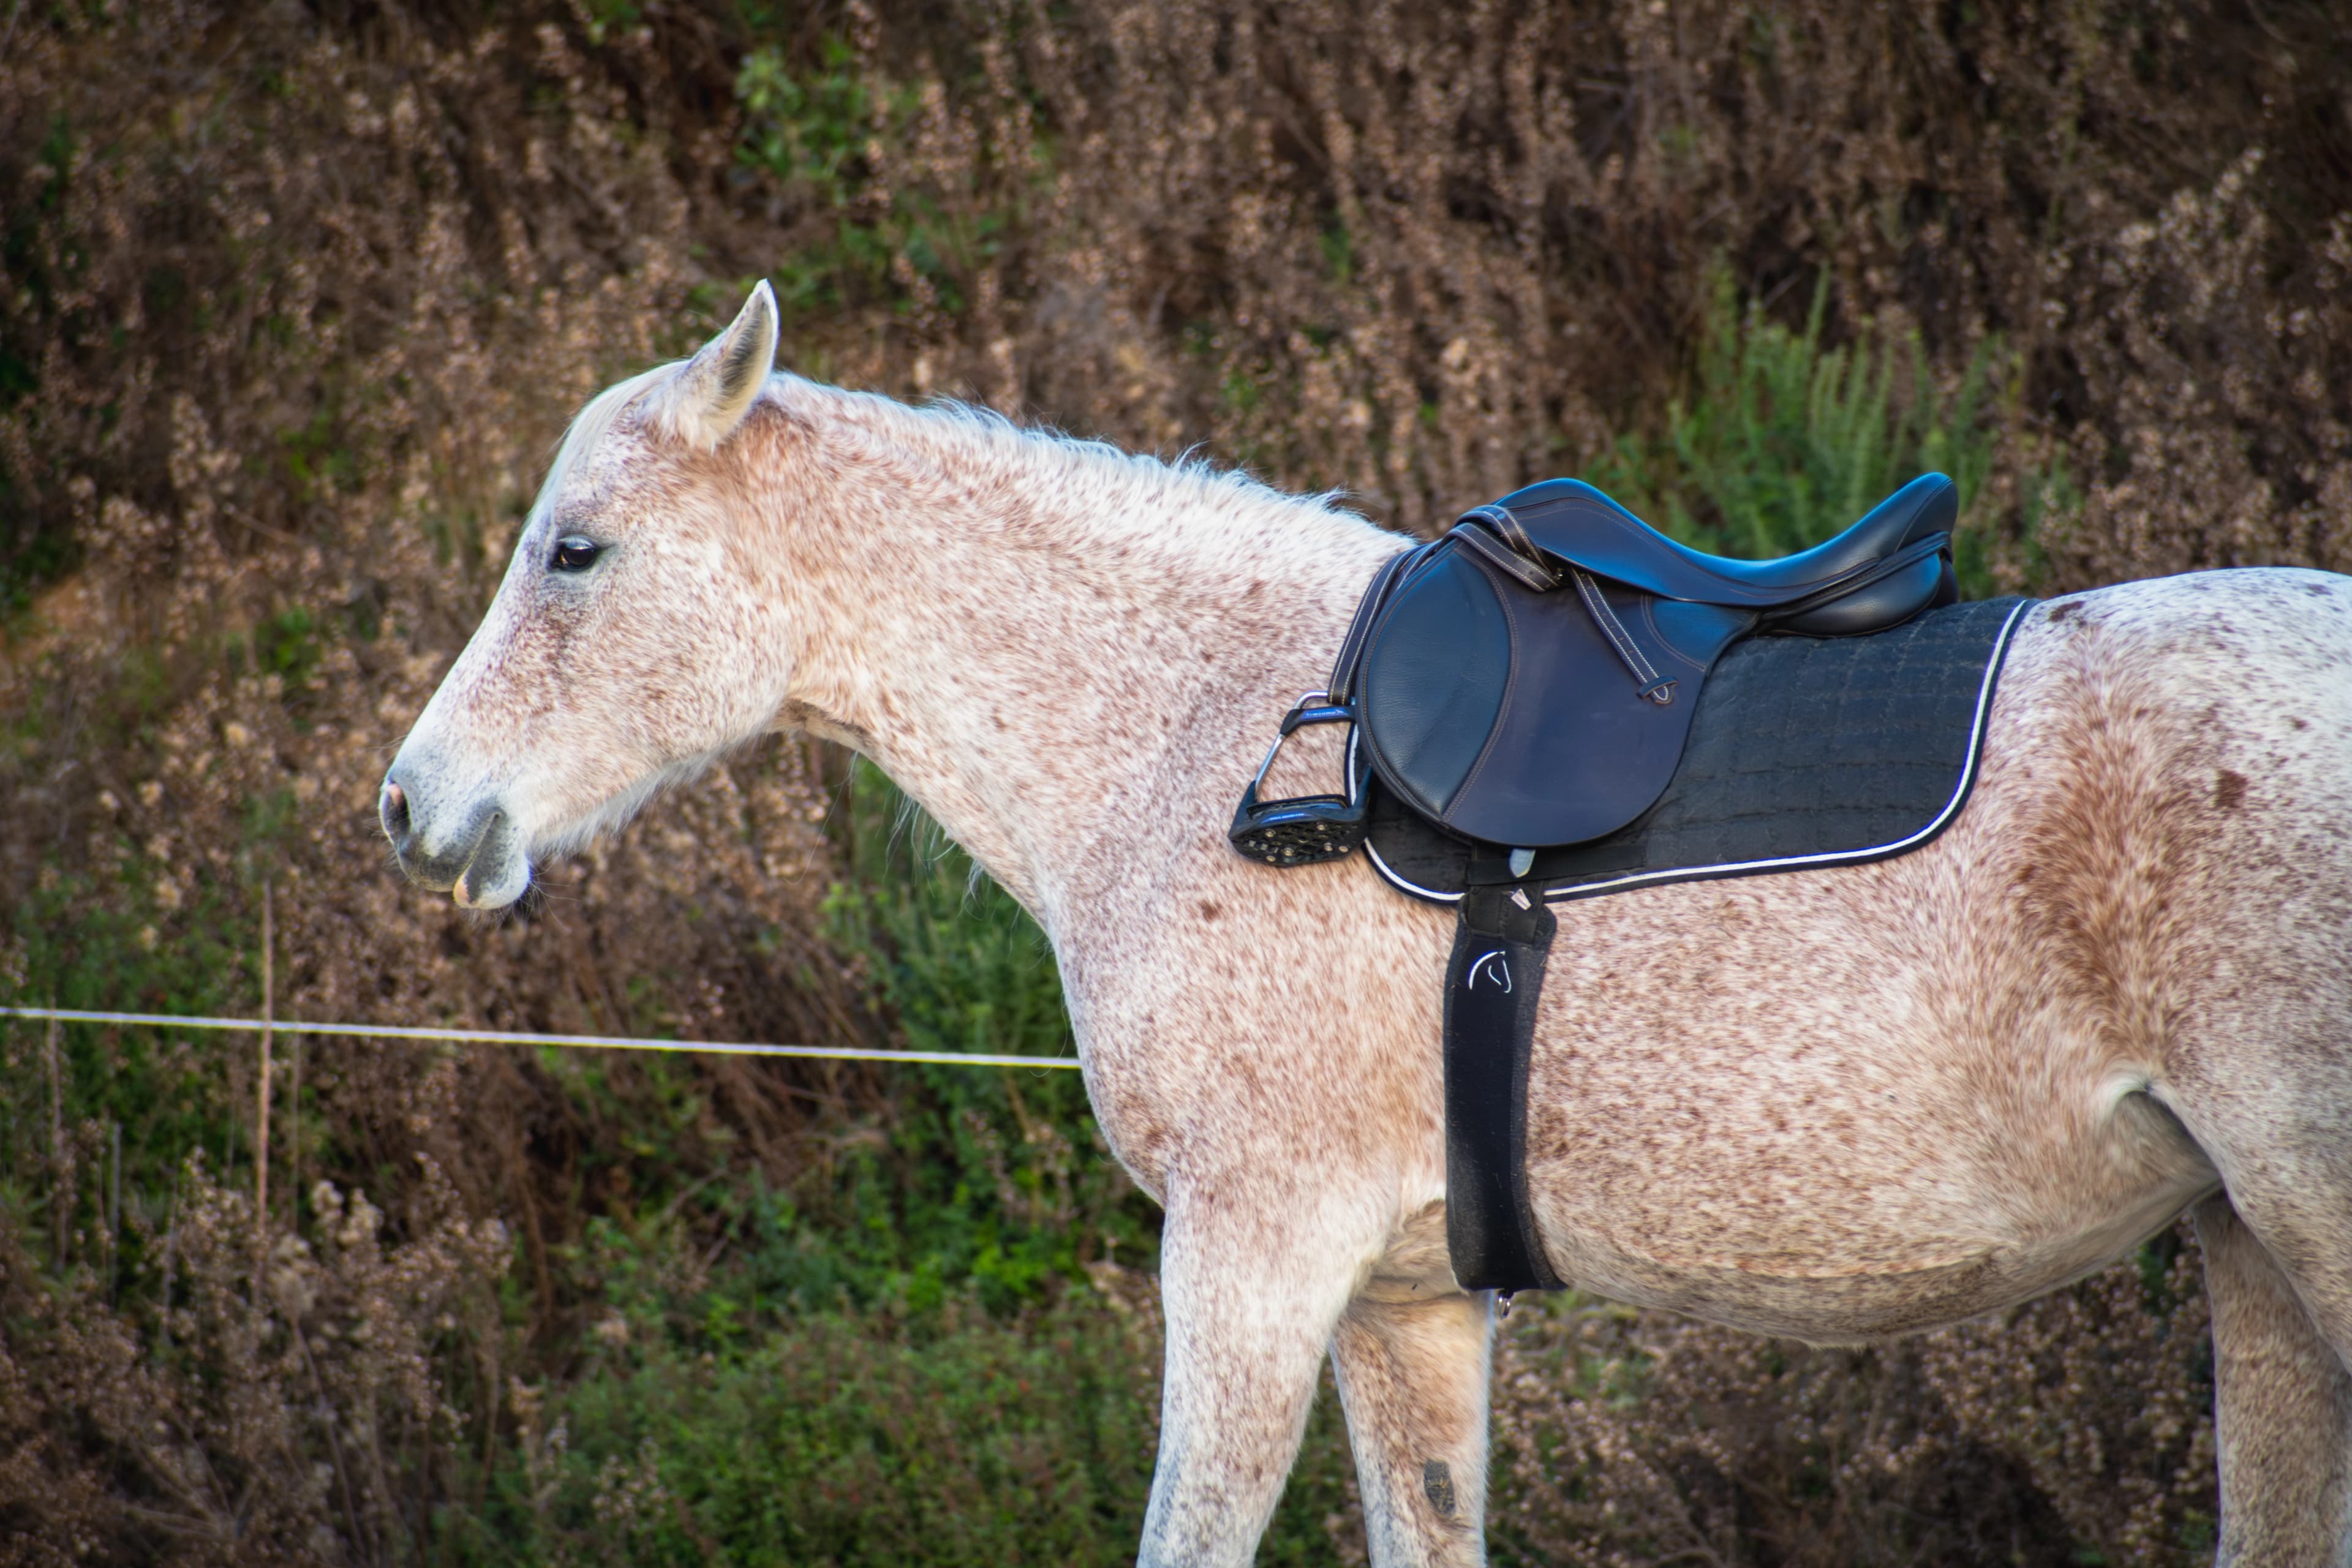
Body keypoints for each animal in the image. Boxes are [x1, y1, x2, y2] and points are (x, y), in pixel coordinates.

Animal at [380, 285, 2352, 1567]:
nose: (414, 806)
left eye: (575, 552)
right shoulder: (1405, 1304)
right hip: (2245, 1250)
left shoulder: (1251, 1258)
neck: (1193, 730)